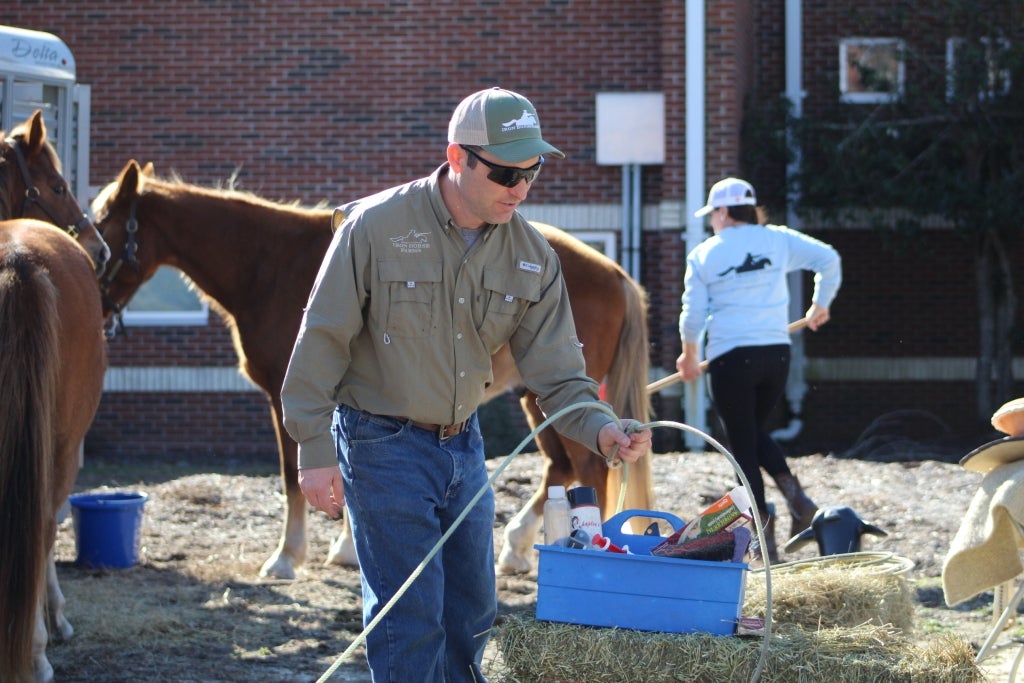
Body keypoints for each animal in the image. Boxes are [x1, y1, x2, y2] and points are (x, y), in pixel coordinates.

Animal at [97, 158, 655, 577]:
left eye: (102, 227)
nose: (96, 306)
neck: (268, 265)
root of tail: (615, 273)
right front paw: (345, 548)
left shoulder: (283, 396)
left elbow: (295, 475)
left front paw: (288, 557)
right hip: (534, 398)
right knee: (561, 466)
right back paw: (517, 547)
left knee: (584, 468)